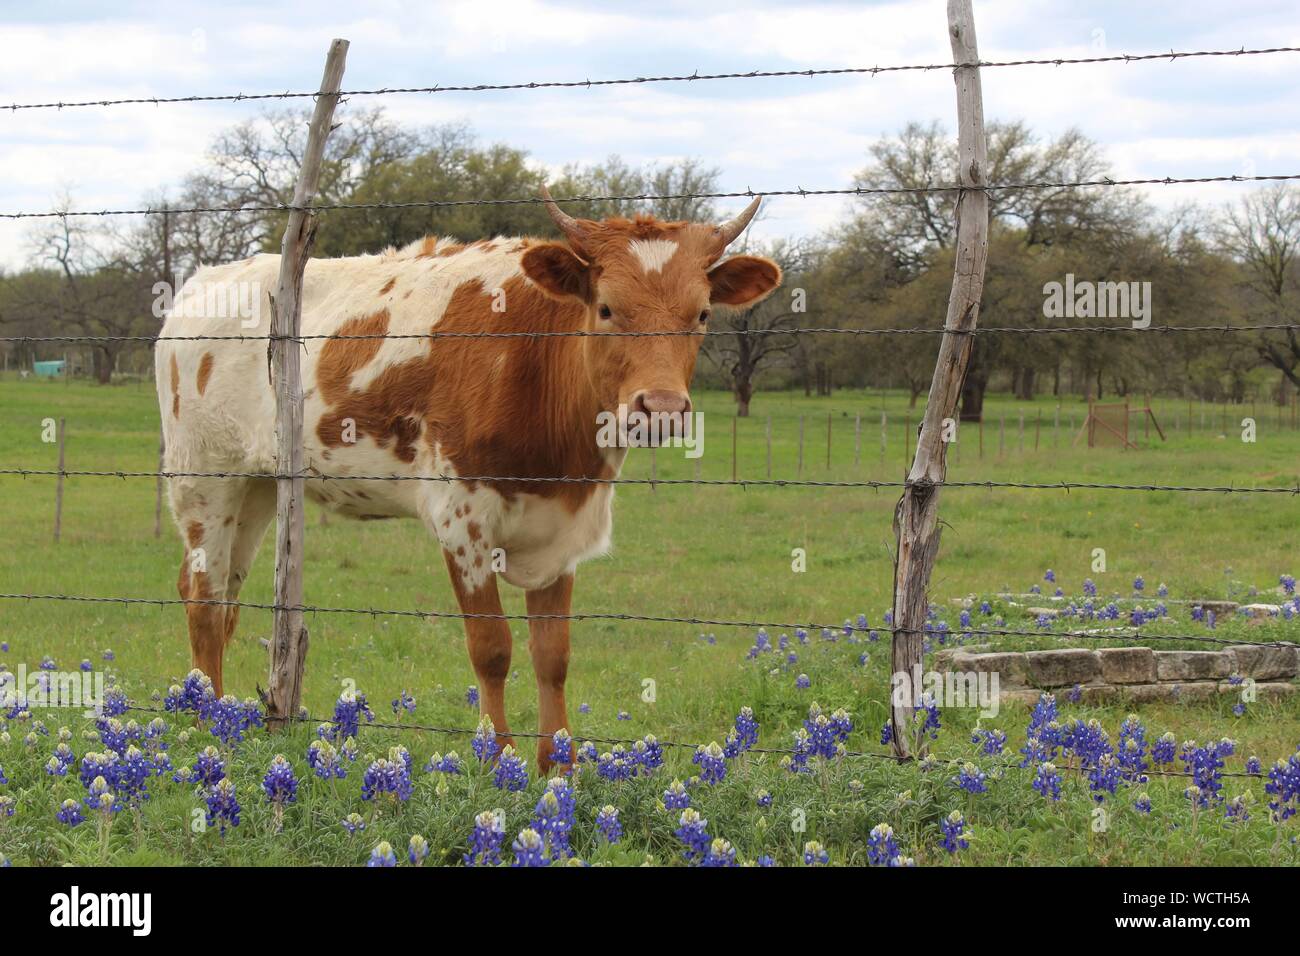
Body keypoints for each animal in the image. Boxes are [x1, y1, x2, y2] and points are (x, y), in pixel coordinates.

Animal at [155, 190, 781, 772]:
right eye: (606, 309)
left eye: (701, 314)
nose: (662, 410)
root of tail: (204, 282)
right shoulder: (463, 521)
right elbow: (492, 648)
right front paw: (498, 760)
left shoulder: (563, 526)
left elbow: (553, 654)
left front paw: (558, 768)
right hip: (203, 478)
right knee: (202, 599)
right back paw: (204, 724)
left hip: (258, 487)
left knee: (227, 597)